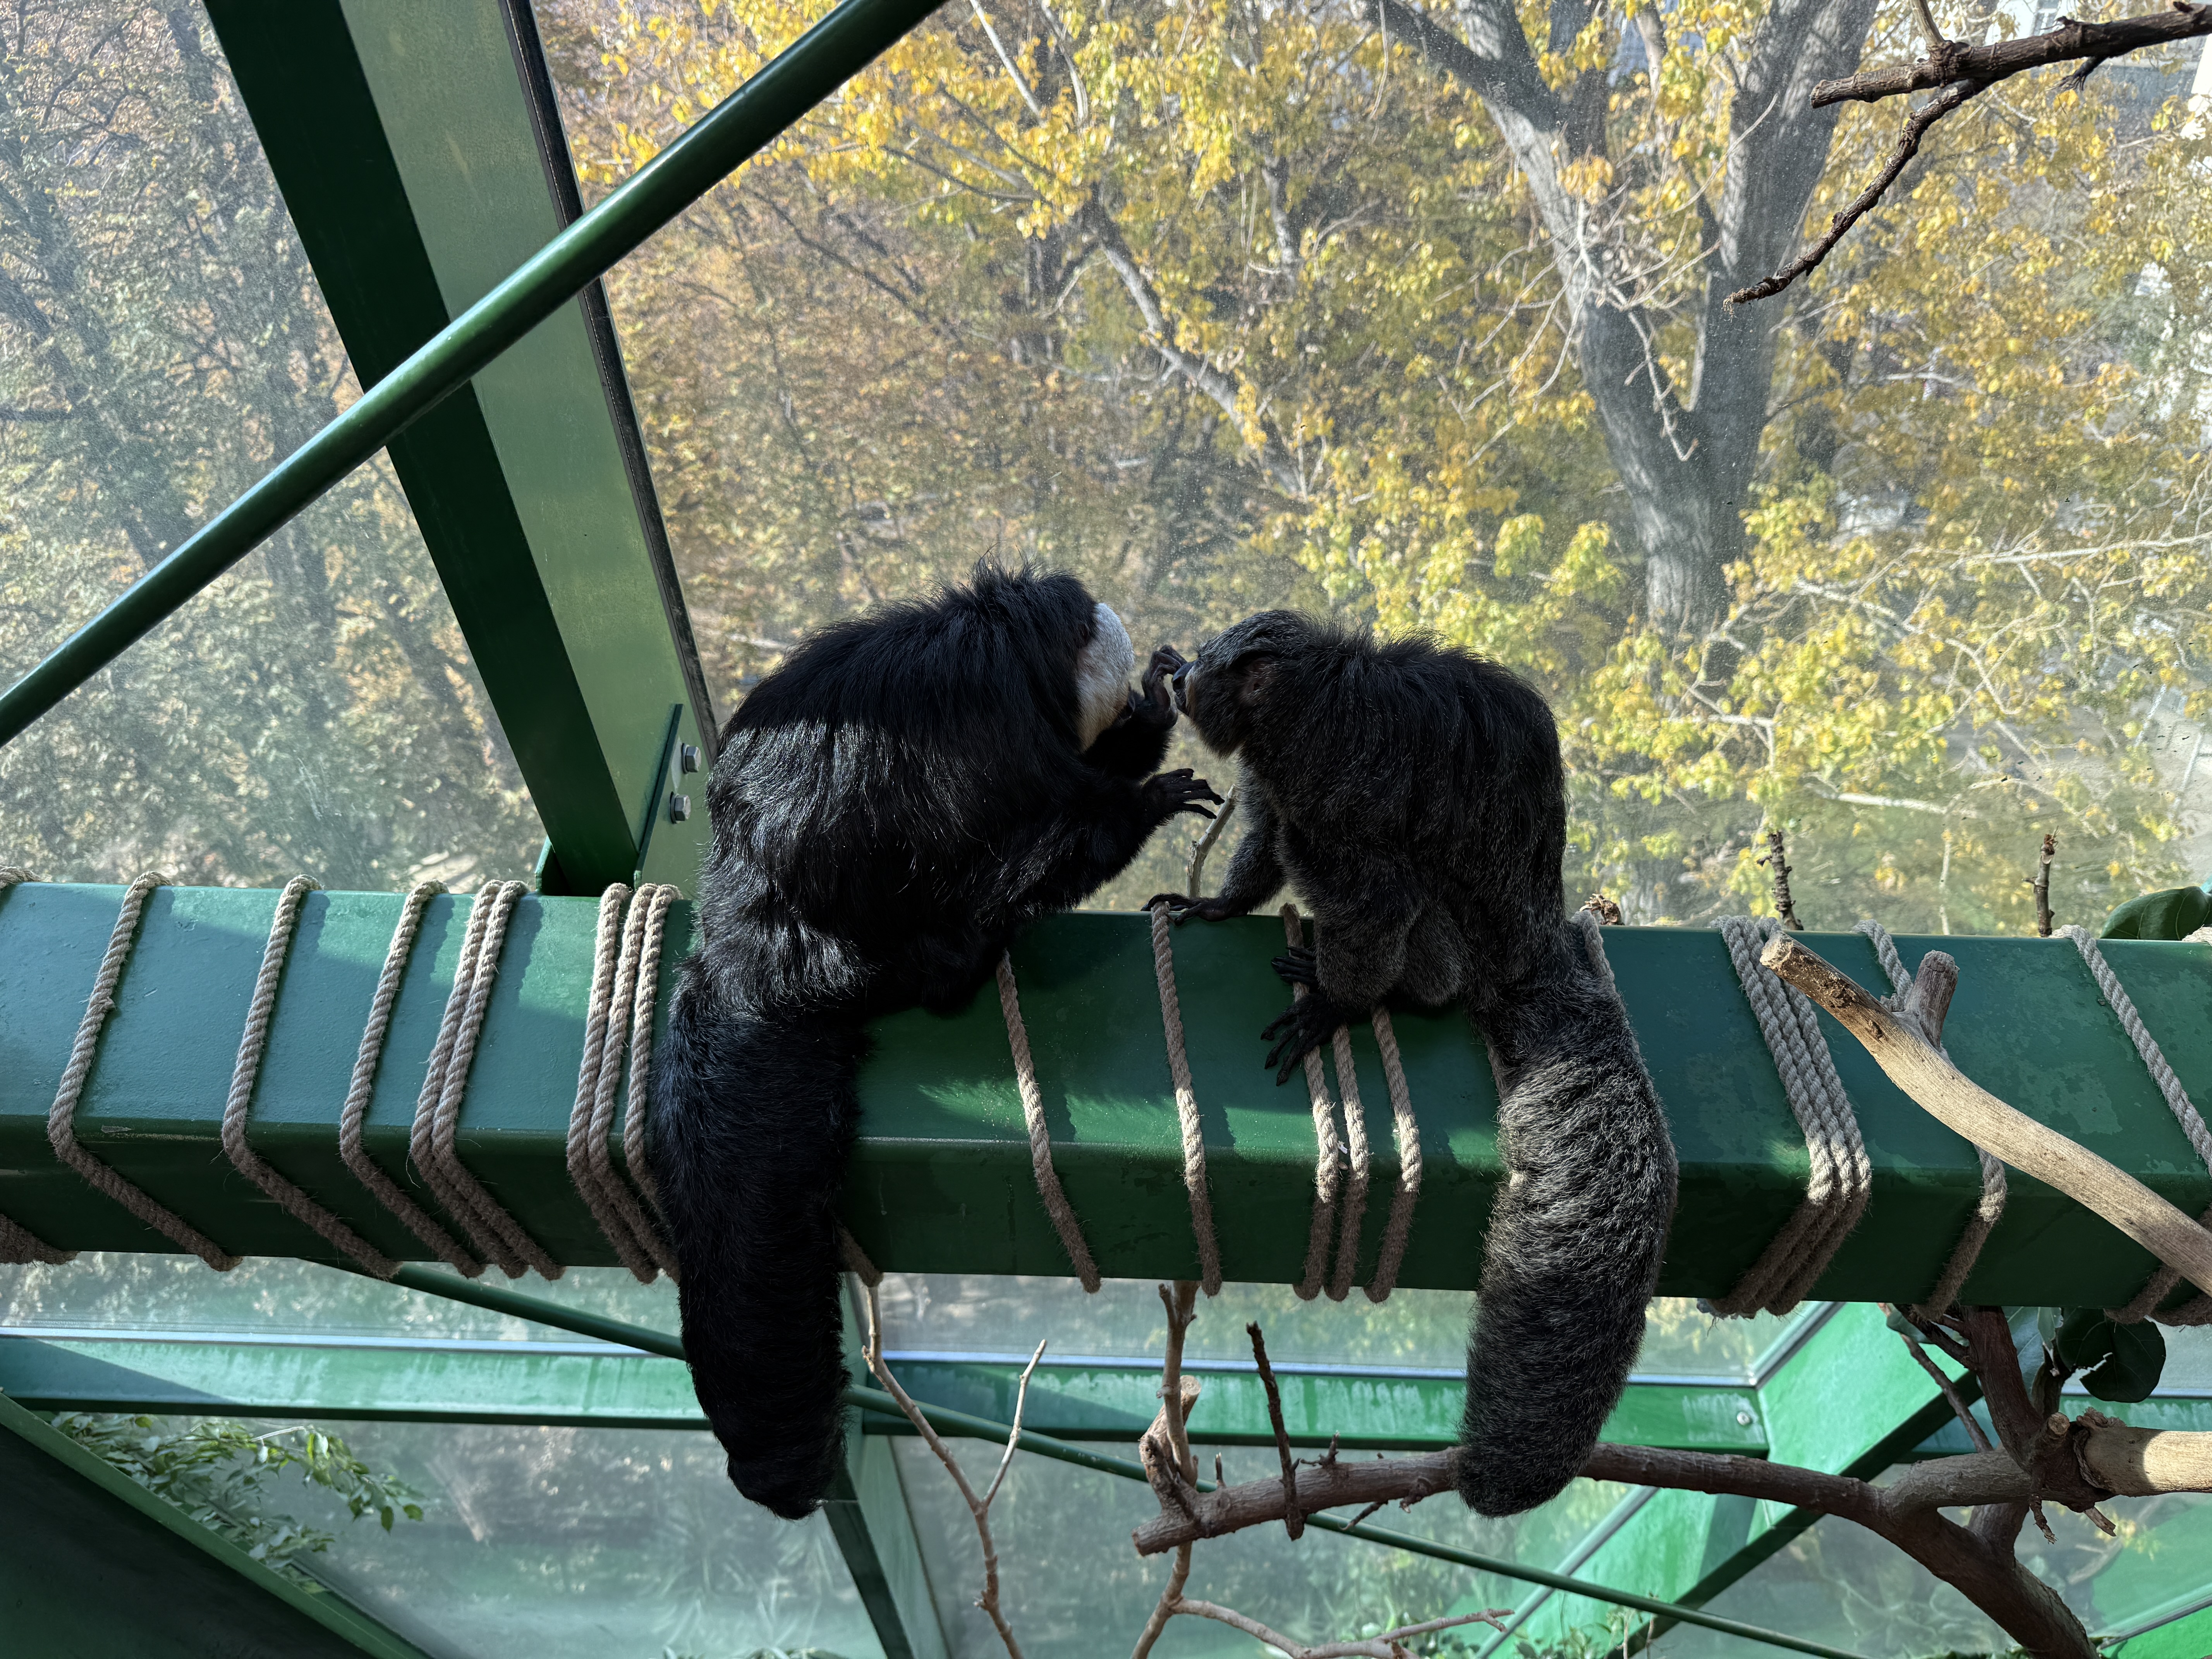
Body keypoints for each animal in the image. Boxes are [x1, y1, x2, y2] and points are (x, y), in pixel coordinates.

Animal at [654, 564, 1220, 1520]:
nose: (1144, 686)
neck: (1025, 652)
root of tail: (743, 928)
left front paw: (1149, 716)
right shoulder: (1003, 734)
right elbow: (1053, 823)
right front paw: (1145, 782)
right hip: (849, 943)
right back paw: (972, 946)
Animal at [1152, 610, 1676, 1517]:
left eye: (1197, 675)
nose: (1176, 677)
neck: (1299, 705)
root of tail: (1531, 941)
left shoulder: (1330, 781)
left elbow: (1373, 894)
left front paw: (1338, 1002)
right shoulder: (1275, 774)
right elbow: (1261, 838)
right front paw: (1221, 901)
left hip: (1457, 945)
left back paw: (1401, 991)